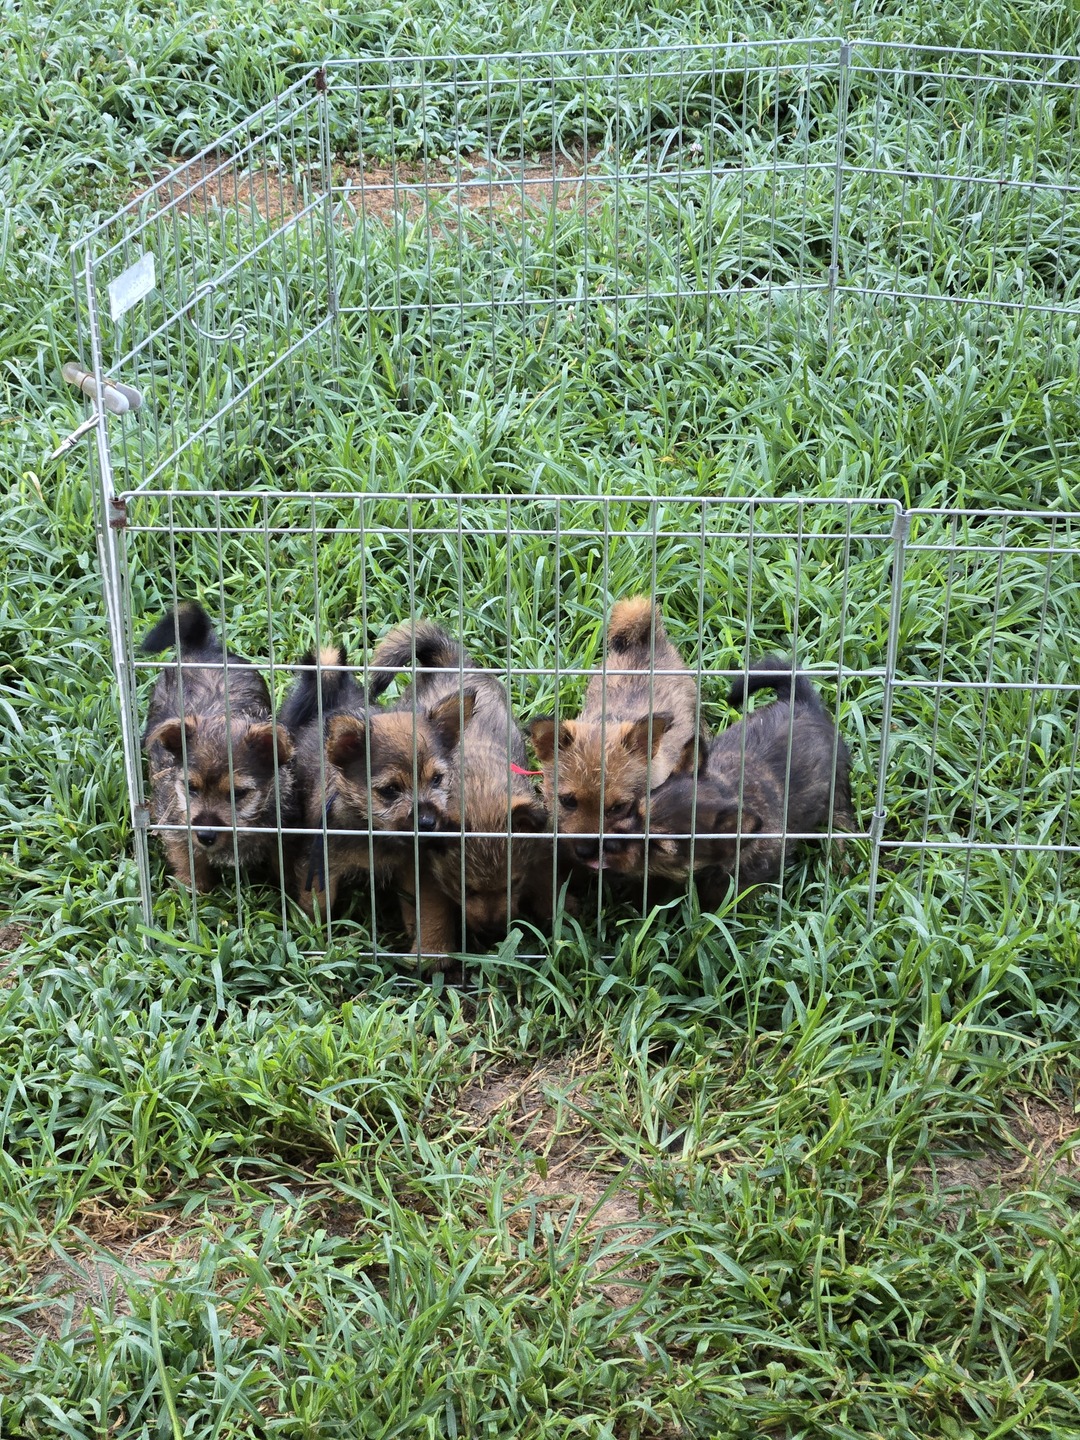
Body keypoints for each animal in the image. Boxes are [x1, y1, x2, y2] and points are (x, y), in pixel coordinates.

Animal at [141, 602, 293, 891]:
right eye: (190, 788)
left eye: (239, 794)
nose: (205, 835)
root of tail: (202, 647)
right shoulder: (178, 830)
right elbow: (190, 864)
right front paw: (194, 892)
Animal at [368, 621, 550, 955]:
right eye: (464, 888)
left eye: (514, 883)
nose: (492, 934)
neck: (478, 783)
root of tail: (450, 661)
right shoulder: (423, 867)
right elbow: (432, 908)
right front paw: (435, 952)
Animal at [632, 656, 855, 895]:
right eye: (636, 809)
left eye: (657, 845)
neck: (727, 787)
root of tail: (803, 701)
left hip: (838, 791)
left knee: (841, 823)